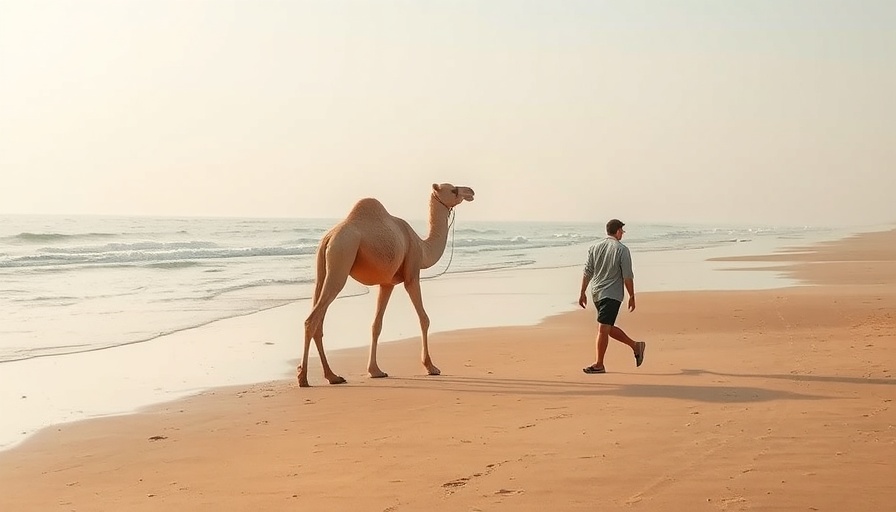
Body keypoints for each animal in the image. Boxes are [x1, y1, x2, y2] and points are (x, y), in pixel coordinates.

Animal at [298, 182, 476, 386]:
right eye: (453, 189)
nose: (470, 191)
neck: (422, 247)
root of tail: (329, 237)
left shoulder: (387, 283)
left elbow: (376, 325)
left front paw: (375, 371)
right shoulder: (412, 273)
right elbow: (424, 319)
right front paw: (431, 367)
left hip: (322, 269)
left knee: (318, 317)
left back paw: (332, 376)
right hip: (342, 255)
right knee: (312, 318)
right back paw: (303, 378)